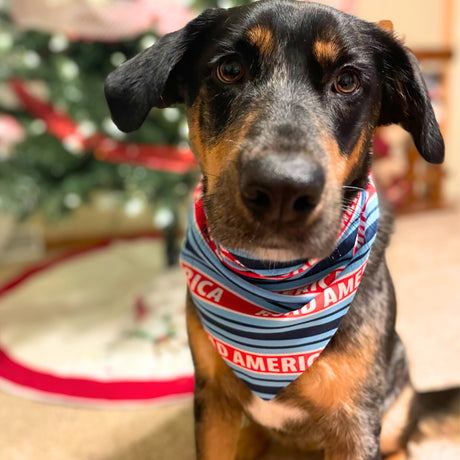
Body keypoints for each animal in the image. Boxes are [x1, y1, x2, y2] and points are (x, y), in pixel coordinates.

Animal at [105, 0, 456, 460]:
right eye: (230, 69)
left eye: (347, 81)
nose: (281, 190)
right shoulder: (213, 400)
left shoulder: (356, 423)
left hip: (395, 402)